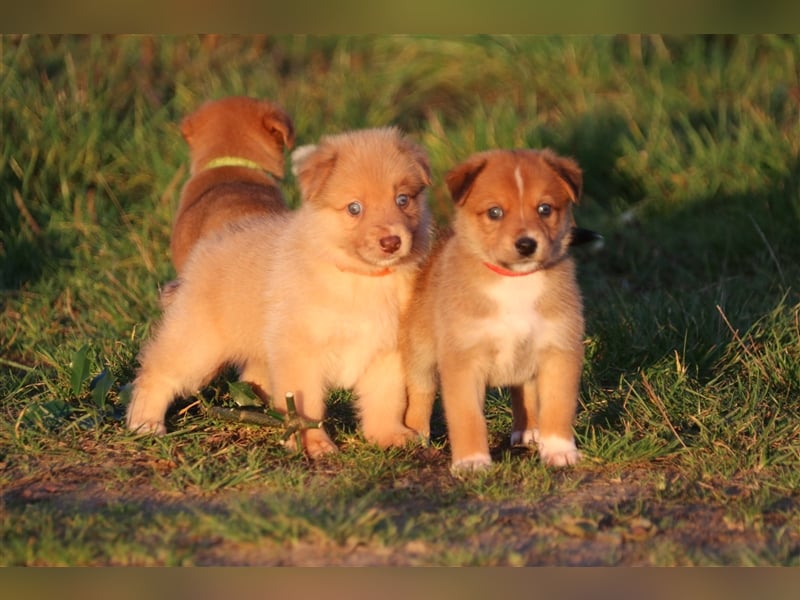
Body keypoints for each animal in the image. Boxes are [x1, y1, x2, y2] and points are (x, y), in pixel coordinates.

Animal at [126, 125, 432, 454]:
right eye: (354, 208)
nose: (391, 242)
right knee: (156, 372)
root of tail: (208, 247)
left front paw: (389, 436)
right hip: (198, 345)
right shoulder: (301, 352)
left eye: (403, 200)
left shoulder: (386, 350)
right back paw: (144, 423)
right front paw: (312, 445)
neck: (361, 278)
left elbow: (385, 400)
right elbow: (307, 407)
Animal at [404, 148, 584, 472]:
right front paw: (472, 461)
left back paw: (529, 432)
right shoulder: (463, 361)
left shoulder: (559, 350)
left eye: (545, 209)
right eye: (495, 212)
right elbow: (467, 418)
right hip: (420, 354)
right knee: (420, 395)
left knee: (524, 393)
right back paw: (415, 436)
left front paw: (559, 451)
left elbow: (558, 407)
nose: (526, 244)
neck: (515, 282)